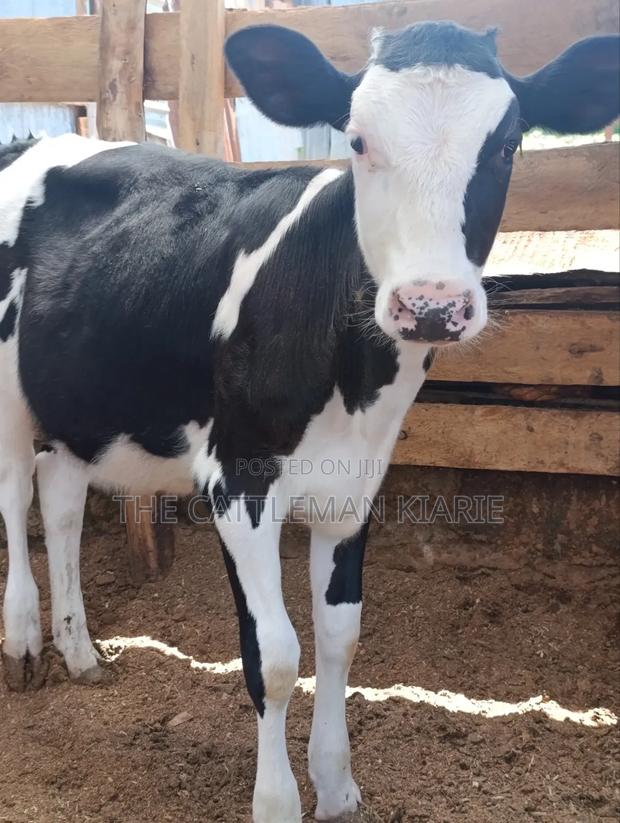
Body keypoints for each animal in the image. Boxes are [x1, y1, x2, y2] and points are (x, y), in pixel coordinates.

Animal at [1, 20, 618, 823]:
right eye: (355, 139)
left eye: (509, 143)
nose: (431, 304)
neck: (351, 382)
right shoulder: (237, 480)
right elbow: (276, 655)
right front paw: (277, 800)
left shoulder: (355, 485)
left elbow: (339, 637)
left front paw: (336, 782)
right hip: (5, 393)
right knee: (16, 494)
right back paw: (22, 643)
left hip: (83, 396)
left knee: (62, 497)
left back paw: (78, 652)